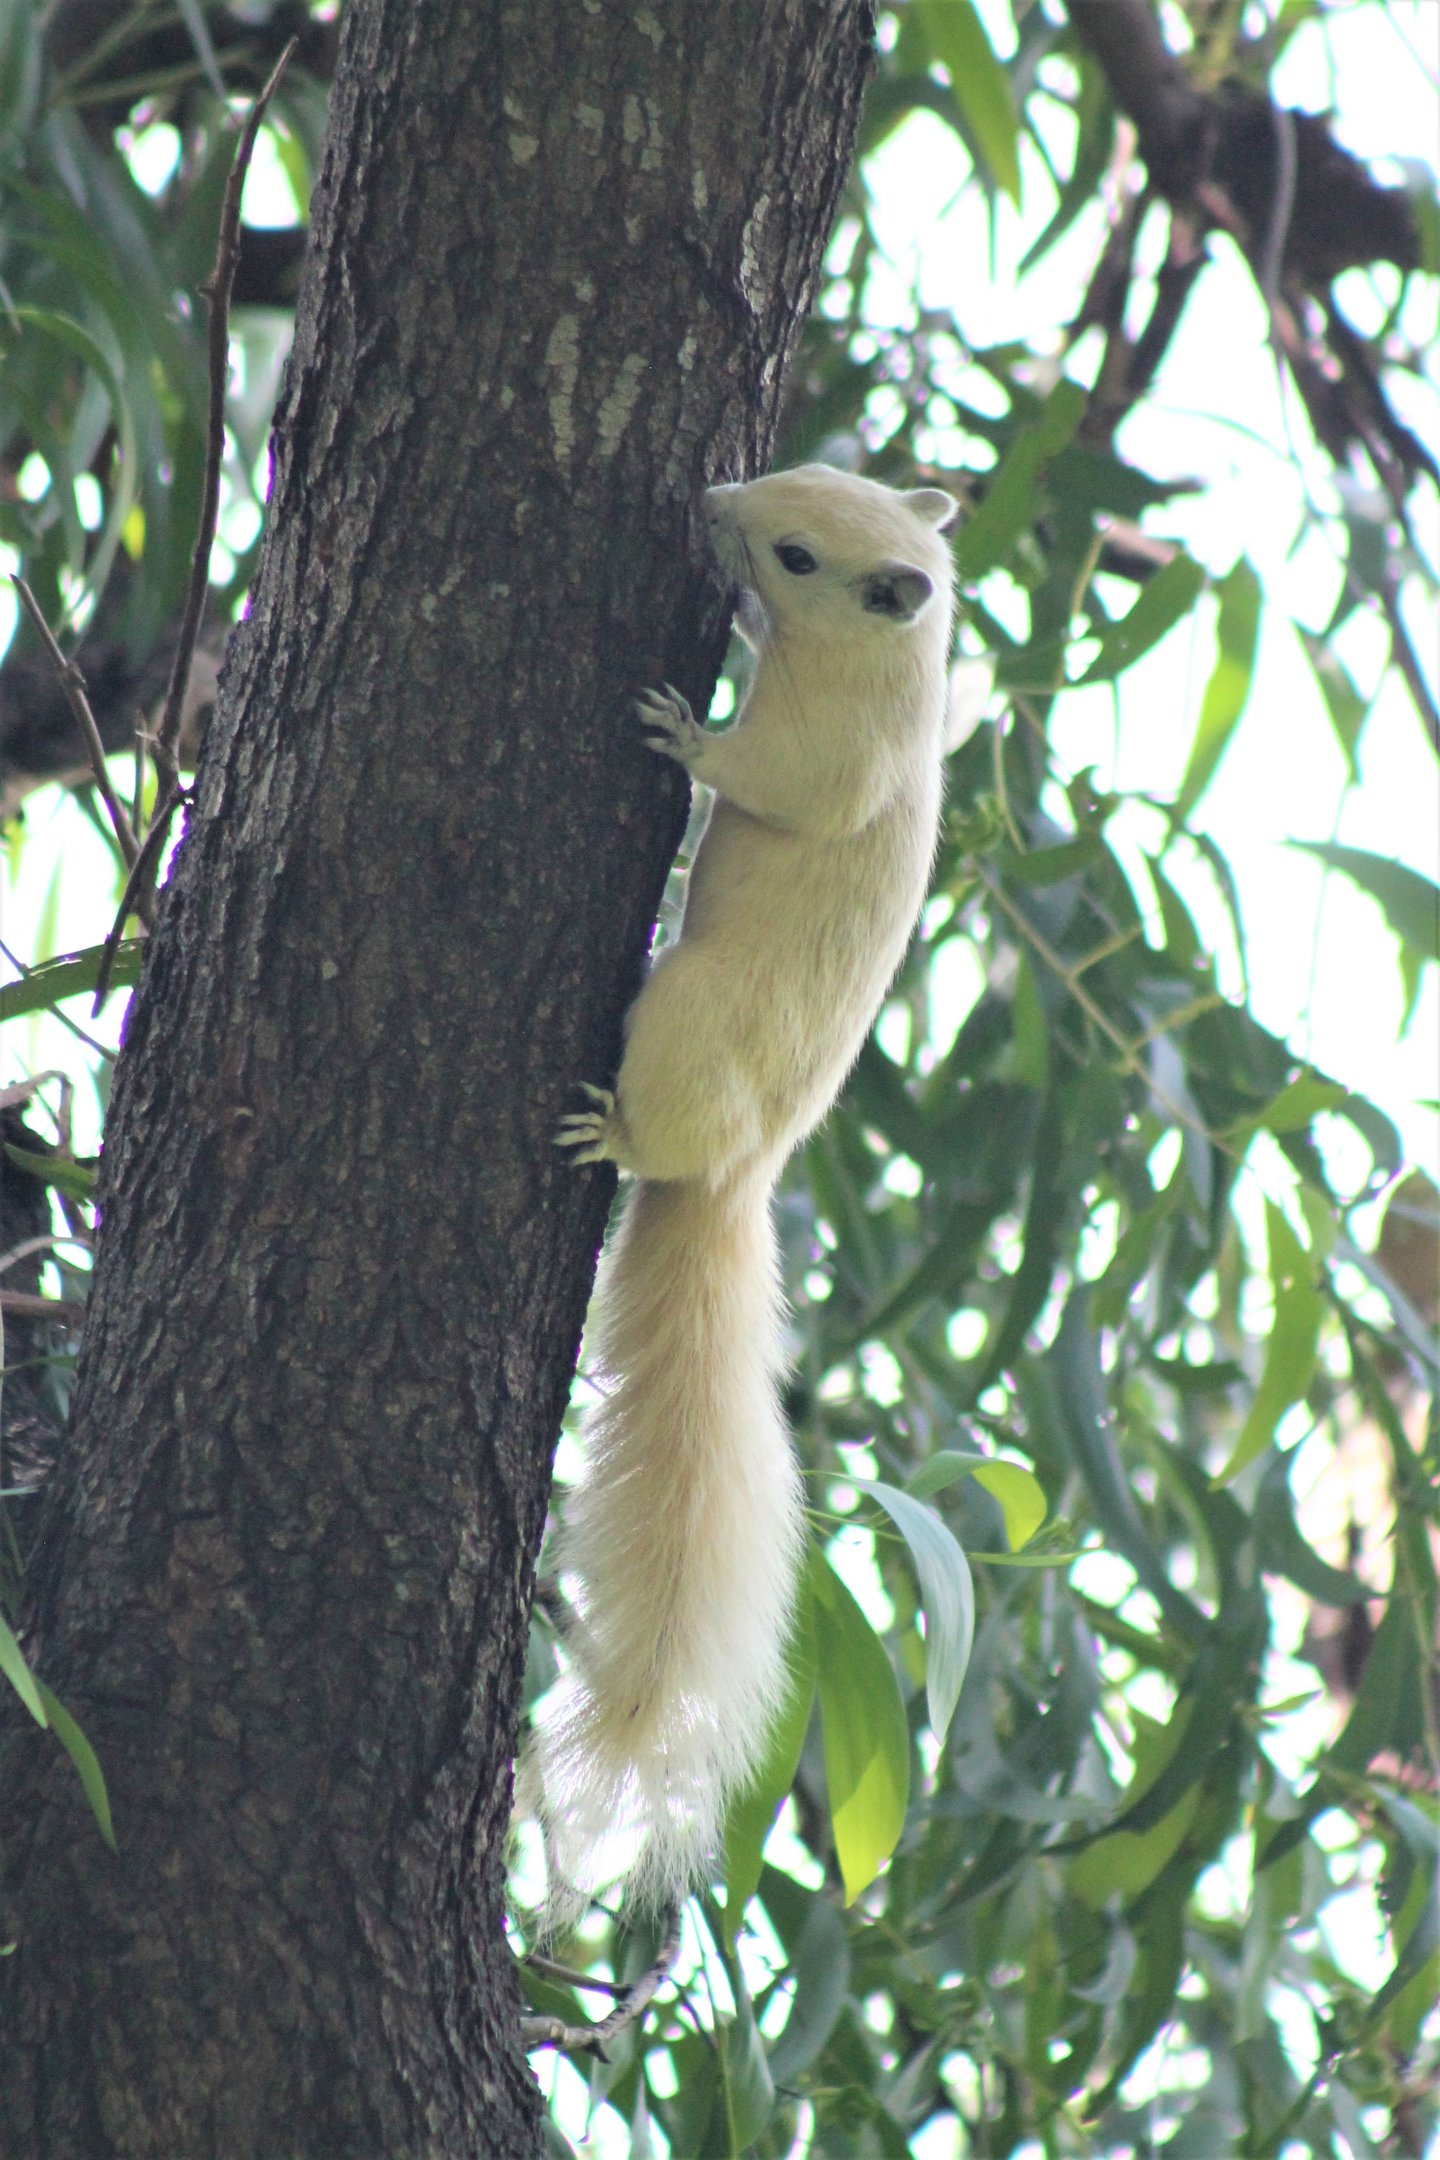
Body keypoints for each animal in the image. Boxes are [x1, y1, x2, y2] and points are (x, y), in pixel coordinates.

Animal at [535, 464, 960, 1923]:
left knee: (656, 1134)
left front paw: (683, 730)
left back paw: (610, 1133)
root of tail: (740, 1175)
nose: (717, 499)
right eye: (817, 481)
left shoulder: (829, 764)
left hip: (687, 1012)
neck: (884, 671)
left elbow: (766, 779)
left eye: (798, 553)